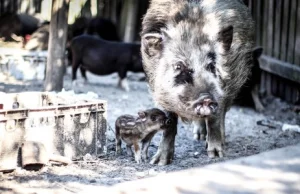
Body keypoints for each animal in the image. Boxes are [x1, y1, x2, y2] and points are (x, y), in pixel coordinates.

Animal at [140, 0, 253, 164]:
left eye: (211, 65)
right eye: (178, 66)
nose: (206, 98)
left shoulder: (223, 88)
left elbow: (215, 118)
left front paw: (216, 155)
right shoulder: (160, 91)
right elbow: (169, 123)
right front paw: (159, 162)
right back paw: (198, 137)